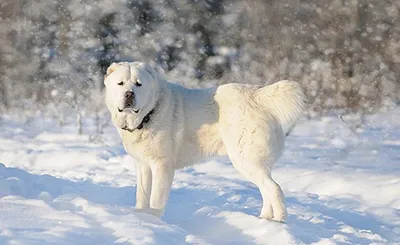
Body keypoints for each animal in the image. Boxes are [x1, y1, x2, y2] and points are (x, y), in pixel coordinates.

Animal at [104, 61, 306, 222]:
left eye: (139, 84)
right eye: (120, 83)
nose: (129, 94)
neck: (149, 114)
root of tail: (258, 96)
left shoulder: (162, 165)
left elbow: (156, 198)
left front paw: (153, 222)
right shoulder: (144, 165)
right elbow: (142, 195)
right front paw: (140, 217)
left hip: (245, 160)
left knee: (274, 189)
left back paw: (278, 222)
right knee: (266, 190)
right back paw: (264, 219)